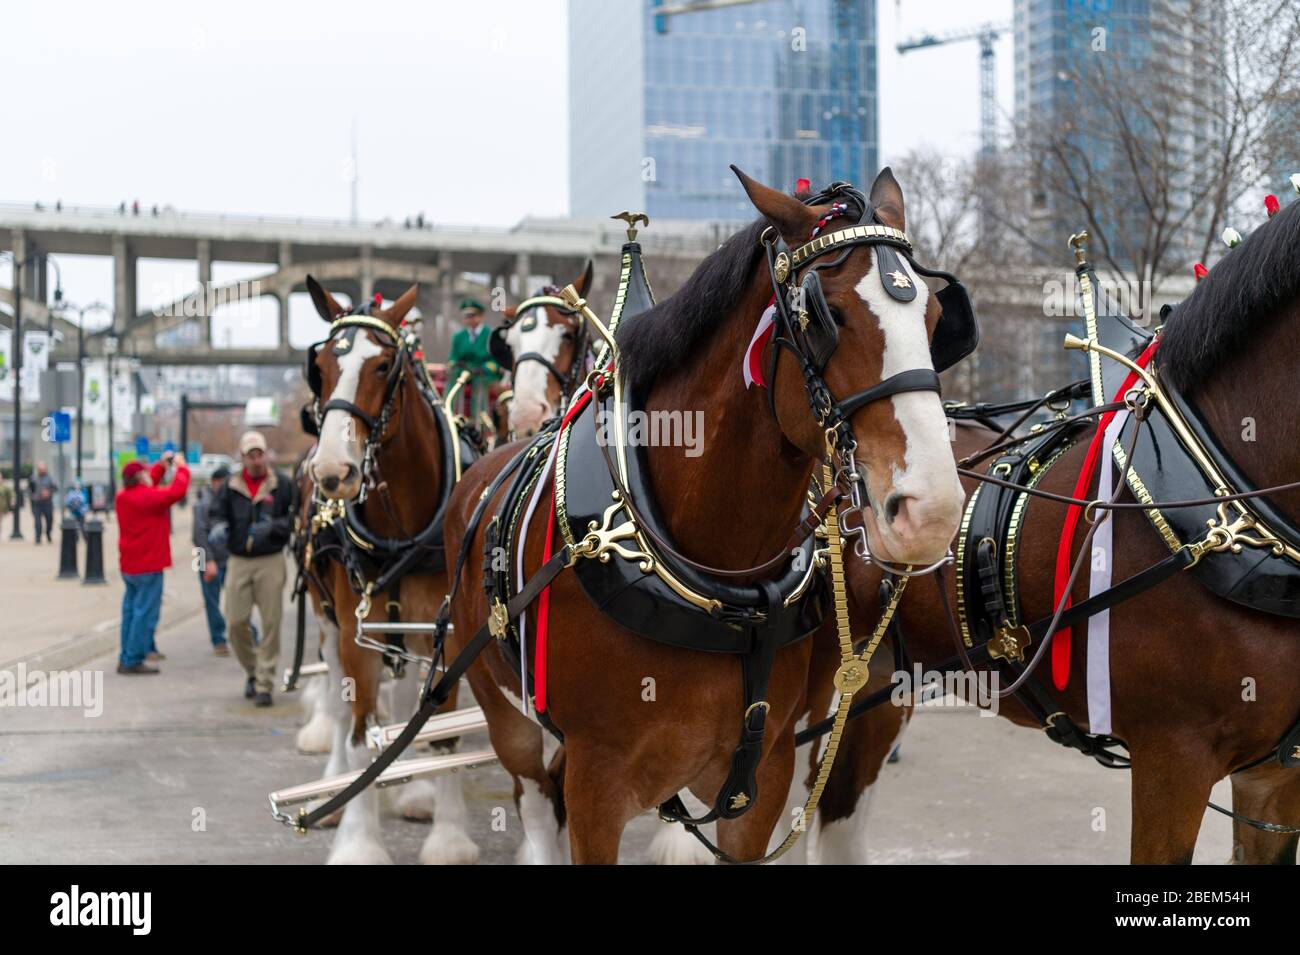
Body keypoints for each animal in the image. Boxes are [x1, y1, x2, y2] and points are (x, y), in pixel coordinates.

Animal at [444, 170, 967, 867]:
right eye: (827, 316)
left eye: (936, 319)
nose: (931, 510)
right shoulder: (596, 786)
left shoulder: (761, 776)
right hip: (507, 716)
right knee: (533, 800)